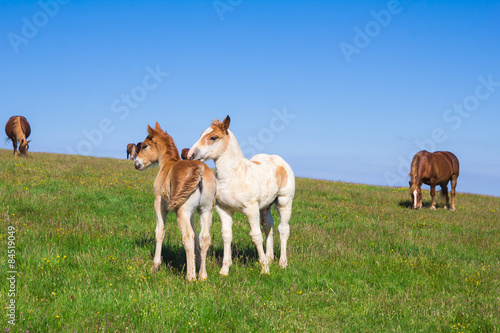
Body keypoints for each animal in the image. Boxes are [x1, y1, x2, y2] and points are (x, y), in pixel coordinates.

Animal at [134, 122, 216, 280]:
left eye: (145, 146)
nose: (136, 164)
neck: (167, 165)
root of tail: (200, 169)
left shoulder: (159, 205)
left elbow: (160, 232)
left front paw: (155, 265)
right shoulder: (192, 213)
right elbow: (196, 235)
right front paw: (197, 263)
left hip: (182, 211)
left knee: (187, 237)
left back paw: (191, 277)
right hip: (206, 210)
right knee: (204, 237)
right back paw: (202, 276)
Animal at [189, 115, 294, 276]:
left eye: (213, 137)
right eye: (201, 134)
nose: (190, 154)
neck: (232, 176)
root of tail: (279, 160)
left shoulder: (251, 209)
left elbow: (256, 236)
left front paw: (264, 269)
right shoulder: (224, 209)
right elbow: (227, 235)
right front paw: (224, 270)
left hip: (284, 202)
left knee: (283, 229)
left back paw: (282, 263)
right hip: (266, 206)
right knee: (269, 226)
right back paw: (270, 257)